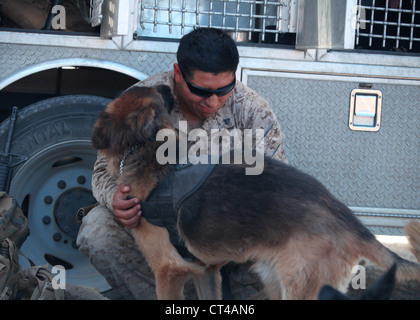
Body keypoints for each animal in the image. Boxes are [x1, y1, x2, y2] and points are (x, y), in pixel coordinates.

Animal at [91, 85, 420, 300]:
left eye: (156, 92)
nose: (167, 82)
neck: (147, 149)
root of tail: (347, 218)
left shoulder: (168, 272)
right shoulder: (205, 271)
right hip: (275, 279)